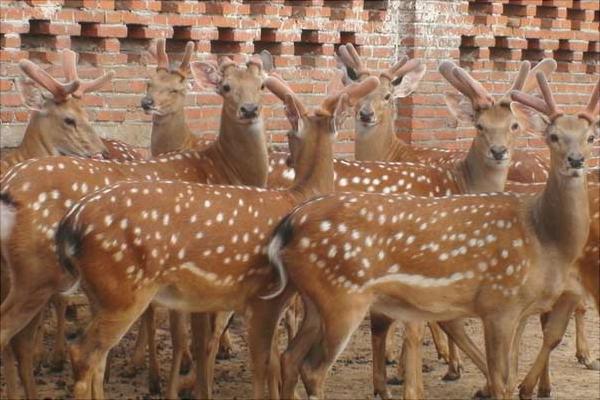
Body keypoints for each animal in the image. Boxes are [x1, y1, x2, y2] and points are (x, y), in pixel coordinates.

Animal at [0, 54, 272, 398]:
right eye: (225, 86)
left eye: (262, 85)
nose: (249, 109)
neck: (222, 169)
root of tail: (9, 185)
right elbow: (197, 340)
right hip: (36, 271)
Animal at [52, 73, 380, 398]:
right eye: (289, 134)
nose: (287, 160)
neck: (297, 196)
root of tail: (71, 223)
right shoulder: (266, 294)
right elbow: (262, 364)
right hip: (123, 290)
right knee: (83, 353)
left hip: (101, 292)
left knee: (97, 358)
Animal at [268, 72, 596, 400]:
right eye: (553, 136)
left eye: (591, 136)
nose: (576, 160)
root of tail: (289, 225)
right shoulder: (499, 304)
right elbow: (499, 374)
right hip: (341, 299)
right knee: (311, 367)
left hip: (315, 302)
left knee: (289, 356)